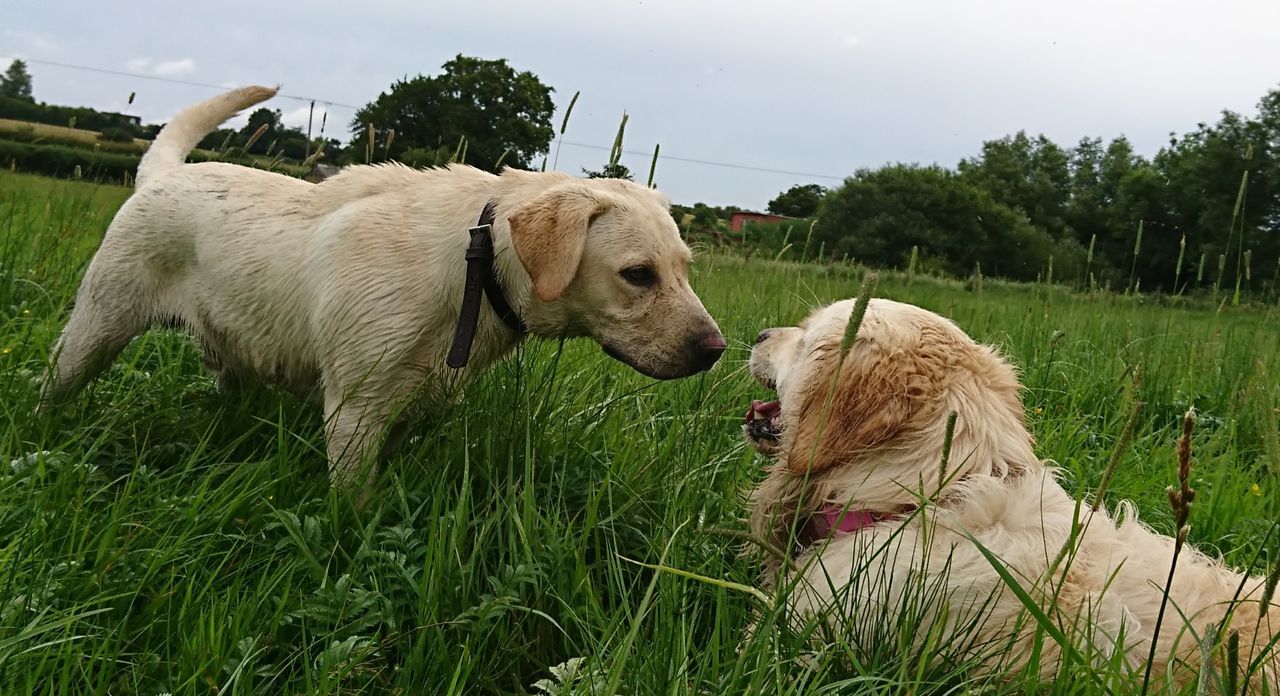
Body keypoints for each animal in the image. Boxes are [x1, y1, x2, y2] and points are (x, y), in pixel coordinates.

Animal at [40, 84, 727, 491]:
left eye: (685, 267)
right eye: (638, 274)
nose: (716, 349)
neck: (474, 266)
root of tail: (162, 175)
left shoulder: (408, 405)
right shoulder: (354, 411)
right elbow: (353, 507)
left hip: (233, 352)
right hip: (94, 329)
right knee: (55, 384)